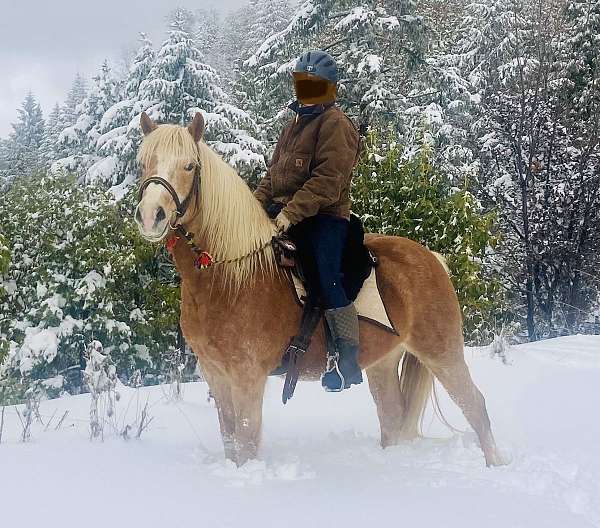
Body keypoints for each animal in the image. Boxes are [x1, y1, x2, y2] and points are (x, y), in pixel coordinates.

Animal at [134, 111, 504, 466]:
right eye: (143, 163)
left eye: (189, 165)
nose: (151, 216)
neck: (230, 276)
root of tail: (431, 258)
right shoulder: (216, 375)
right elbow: (231, 443)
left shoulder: (247, 378)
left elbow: (246, 444)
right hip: (384, 362)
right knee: (393, 416)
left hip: (442, 353)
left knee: (476, 406)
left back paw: (495, 464)